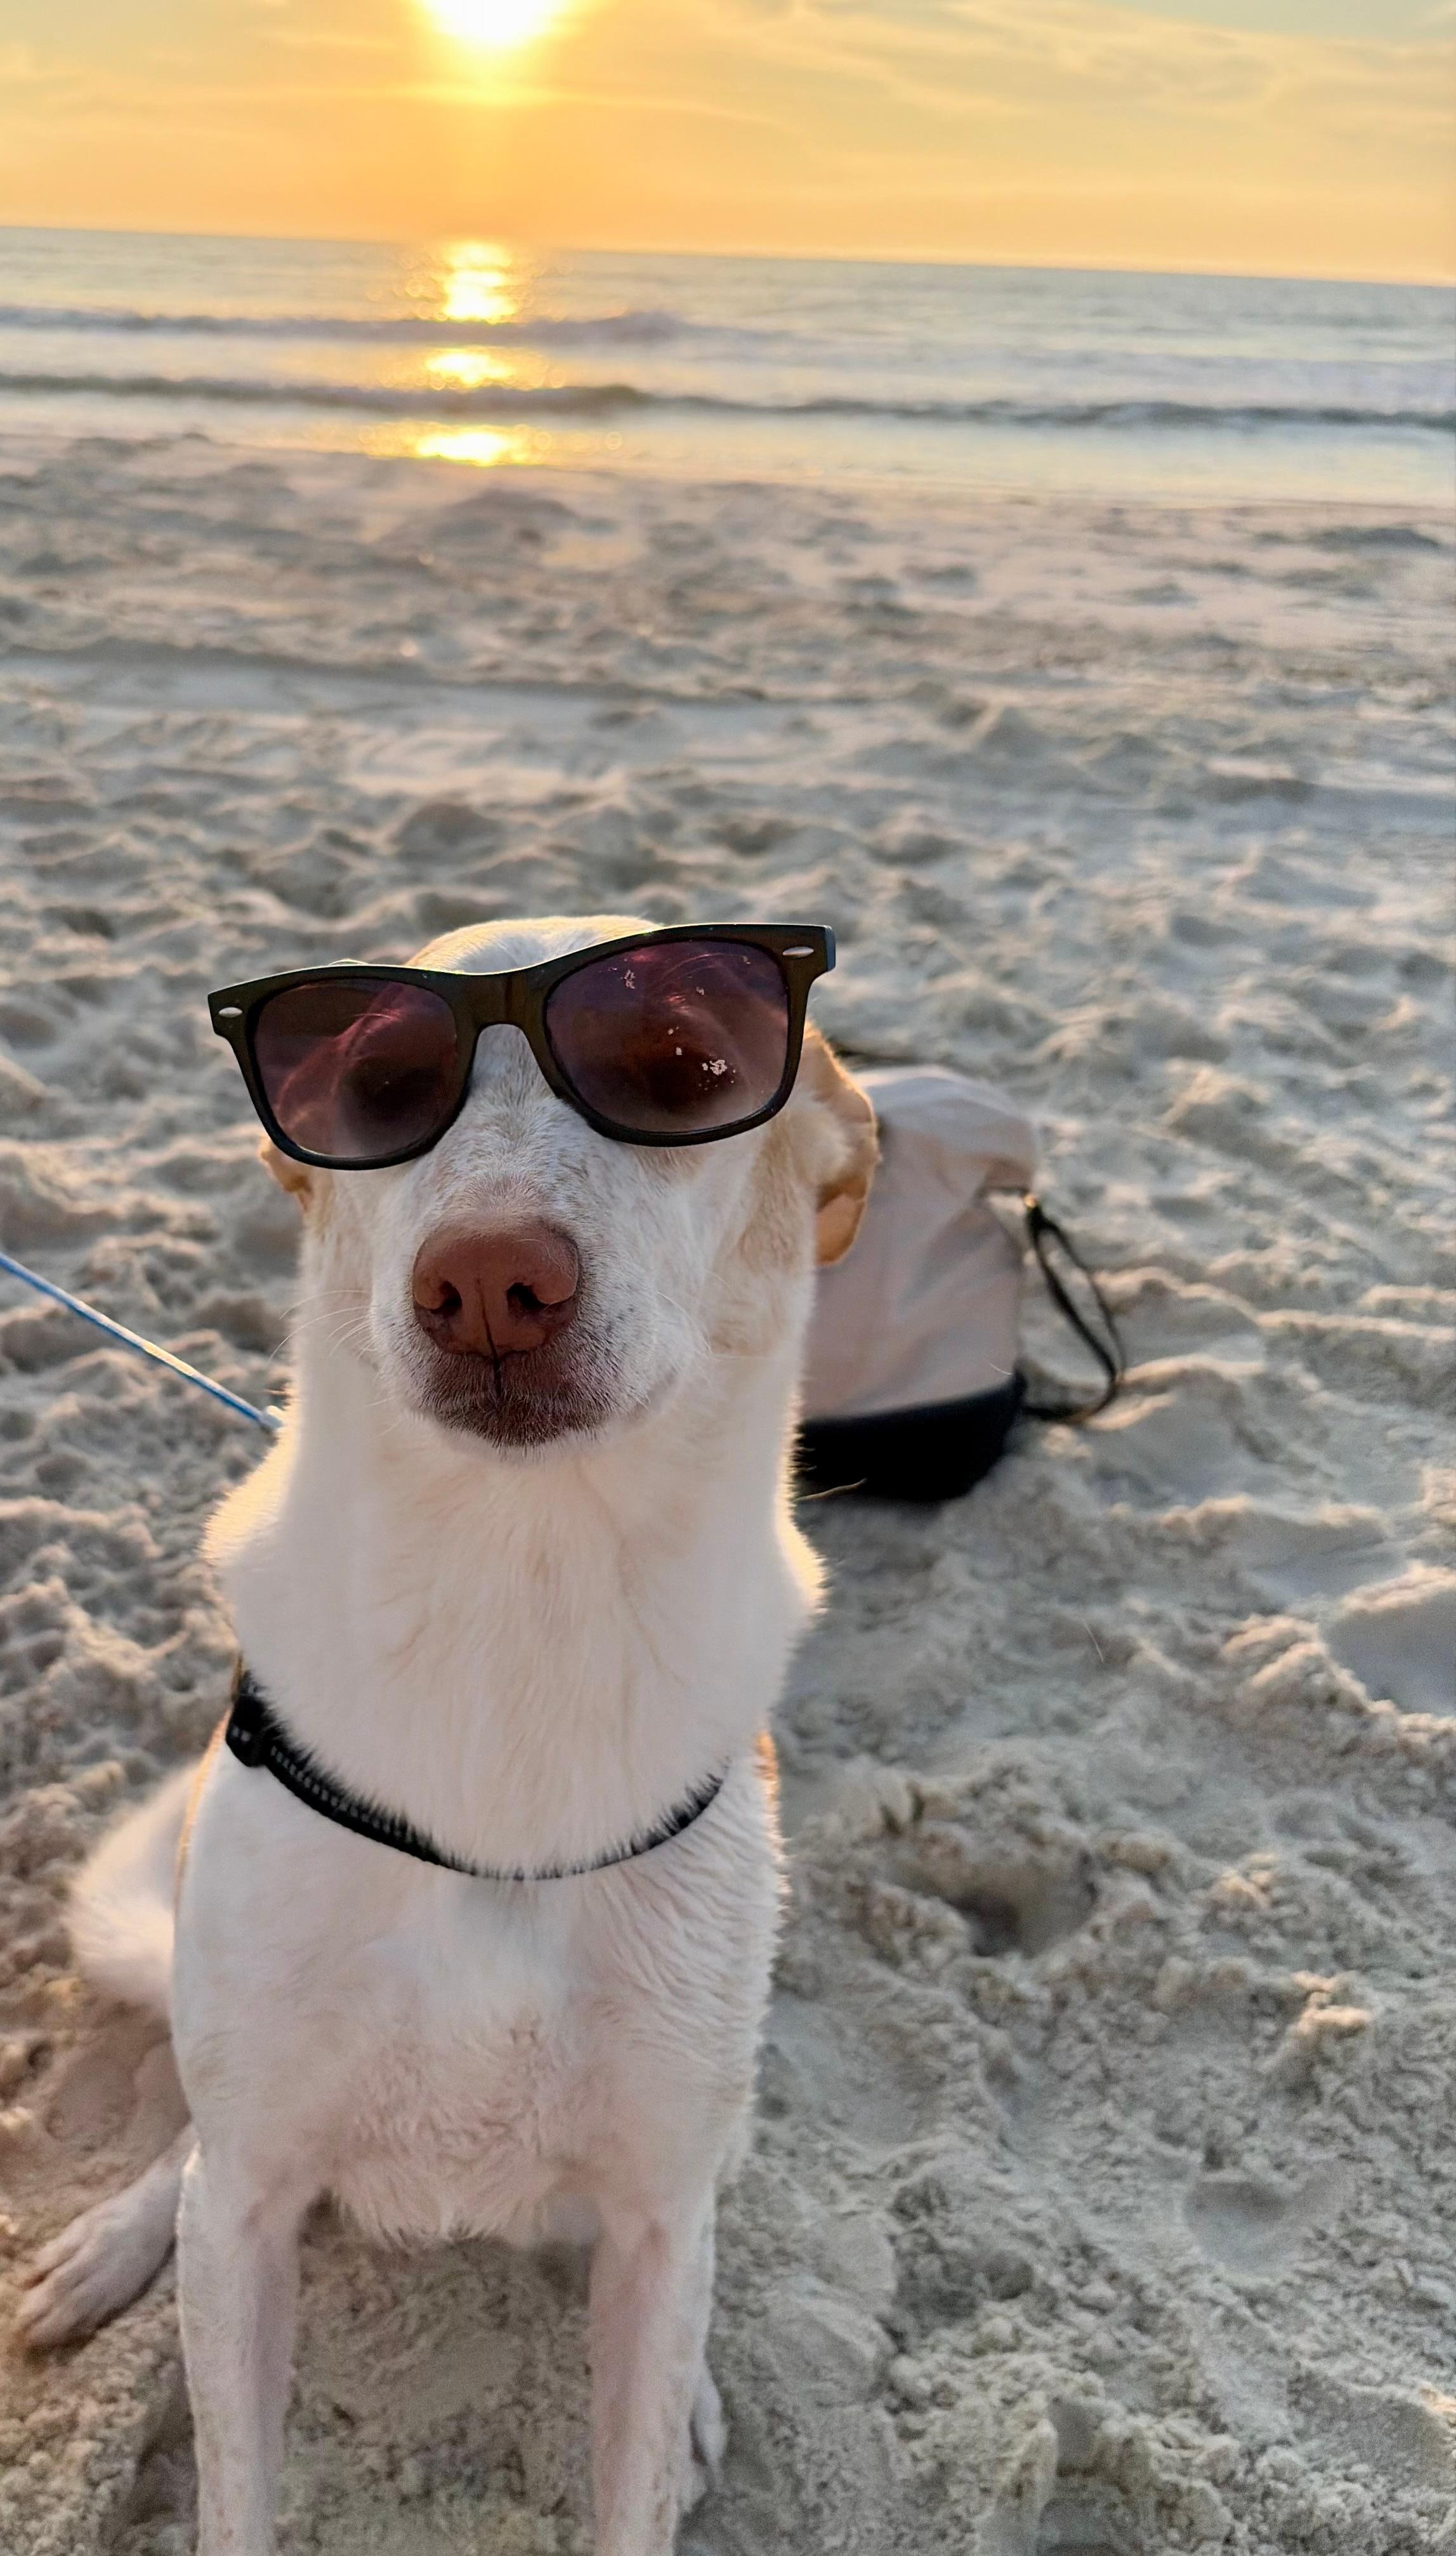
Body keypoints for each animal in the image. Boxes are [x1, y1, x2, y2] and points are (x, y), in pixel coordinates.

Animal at [18, 914, 877, 2556]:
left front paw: (670, 2421)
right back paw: (110, 2236)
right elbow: (234, 2480)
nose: (486, 1278)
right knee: (188, 2146)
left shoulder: (658, 2212)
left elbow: (633, 2467)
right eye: (374, 1088)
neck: (514, 1601)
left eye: (687, 1068)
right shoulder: (251, 2204)